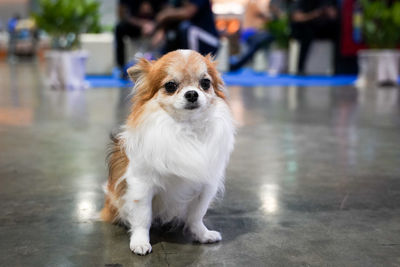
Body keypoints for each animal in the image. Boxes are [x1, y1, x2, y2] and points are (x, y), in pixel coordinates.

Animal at [101, 49, 236, 256]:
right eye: (170, 86)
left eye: (205, 83)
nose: (192, 93)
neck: (186, 129)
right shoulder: (142, 186)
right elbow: (142, 218)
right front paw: (140, 242)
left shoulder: (206, 187)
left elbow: (197, 215)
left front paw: (202, 234)